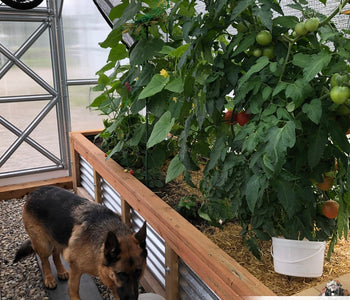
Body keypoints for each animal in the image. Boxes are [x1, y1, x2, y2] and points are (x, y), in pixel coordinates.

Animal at [13, 185, 148, 300]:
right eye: (120, 273)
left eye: (139, 271)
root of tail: (34, 192)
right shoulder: (76, 268)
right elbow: (73, 290)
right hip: (43, 244)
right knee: (45, 260)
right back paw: (49, 279)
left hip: (57, 238)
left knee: (55, 254)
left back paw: (61, 271)